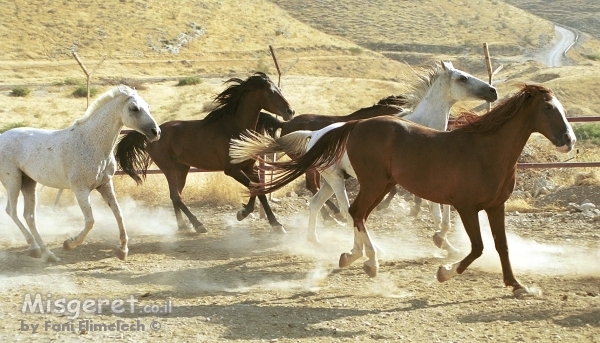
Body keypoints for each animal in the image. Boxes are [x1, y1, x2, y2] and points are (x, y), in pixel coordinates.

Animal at [0, 84, 161, 262]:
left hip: (29, 182)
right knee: (12, 211)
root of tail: (2, 136)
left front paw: (122, 250)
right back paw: (37, 249)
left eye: (148, 107)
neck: (91, 143)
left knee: (29, 216)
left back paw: (46, 253)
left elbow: (118, 213)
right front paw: (69, 243)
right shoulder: (80, 190)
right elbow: (90, 221)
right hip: (13, 181)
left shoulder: (105, 185)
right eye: (134, 108)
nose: (156, 132)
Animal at [114, 72, 292, 234]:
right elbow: (256, 190)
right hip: (168, 168)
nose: (290, 111)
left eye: (278, 89)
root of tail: (153, 133)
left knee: (175, 195)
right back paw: (198, 225)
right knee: (176, 196)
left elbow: (258, 189)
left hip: (181, 169)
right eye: (270, 92)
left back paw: (183, 225)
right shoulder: (232, 170)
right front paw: (268, 222)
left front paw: (251, 215)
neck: (233, 129)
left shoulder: (249, 167)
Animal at [230, 61, 496, 253]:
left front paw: (447, 245)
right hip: (335, 180)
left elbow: (445, 214)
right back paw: (371, 246)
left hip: (332, 179)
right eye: (462, 78)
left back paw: (315, 241)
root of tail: (314, 134)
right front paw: (443, 244)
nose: (493, 91)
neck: (423, 127)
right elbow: (437, 213)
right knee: (347, 211)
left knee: (315, 203)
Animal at [232, 84, 576, 296]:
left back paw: (353, 256)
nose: (569, 140)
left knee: (353, 213)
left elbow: (501, 246)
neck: (486, 150)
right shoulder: (466, 206)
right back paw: (369, 262)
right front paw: (445, 271)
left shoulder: (495, 206)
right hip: (371, 183)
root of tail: (354, 125)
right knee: (353, 211)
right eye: (548, 109)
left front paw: (517, 285)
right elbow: (477, 247)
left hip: (379, 184)